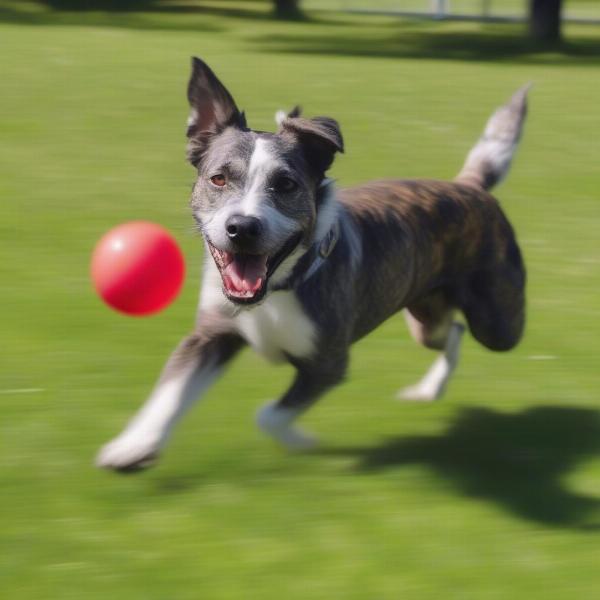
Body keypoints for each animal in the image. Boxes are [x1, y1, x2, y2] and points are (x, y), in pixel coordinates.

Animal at [96, 58, 528, 472]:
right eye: (218, 179)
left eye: (286, 184)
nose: (242, 227)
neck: (275, 291)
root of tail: (469, 186)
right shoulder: (213, 333)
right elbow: (170, 391)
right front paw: (132, 447)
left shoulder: (328, 362)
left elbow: (268, 416)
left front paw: (304, 442)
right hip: (425, 315)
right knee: (449, 329)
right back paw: (428, 389)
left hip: (498, 324)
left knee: (465, 331)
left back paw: (431, 388)